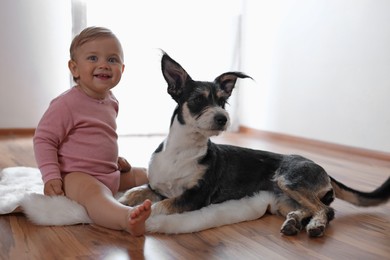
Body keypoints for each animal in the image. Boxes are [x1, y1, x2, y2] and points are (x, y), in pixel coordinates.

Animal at [119, 51, 390, 237]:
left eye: (223, 102)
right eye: (198, 99)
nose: (223, 118)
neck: (181, 151)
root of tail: (323, 169)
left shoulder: (194, 197)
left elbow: (159, 206)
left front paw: (136, 215)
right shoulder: (157, 186)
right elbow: (134, 191)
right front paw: (122, 200)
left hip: (289, 180)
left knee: (325, 210)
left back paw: (315, 226)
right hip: (283, 198)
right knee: (310, 208)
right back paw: (294, 222)